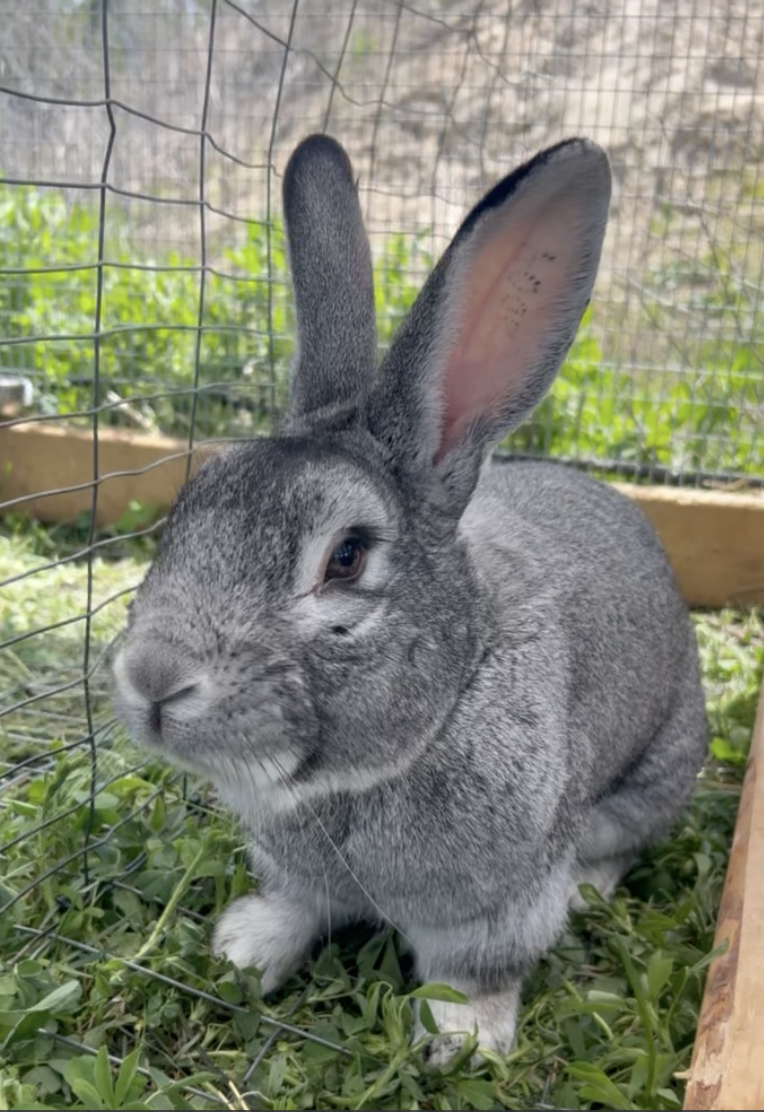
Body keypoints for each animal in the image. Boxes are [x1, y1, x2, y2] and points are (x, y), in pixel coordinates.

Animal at [112, 134, 708, 1064]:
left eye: (348, 558)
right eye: (192, 504)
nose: (150, 681)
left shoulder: (497, 905)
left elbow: (475, 970)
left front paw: (465, 1039)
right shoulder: (298, 871)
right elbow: (294, 905)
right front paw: (245, 950)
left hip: (655, 773)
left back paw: (590, 890)